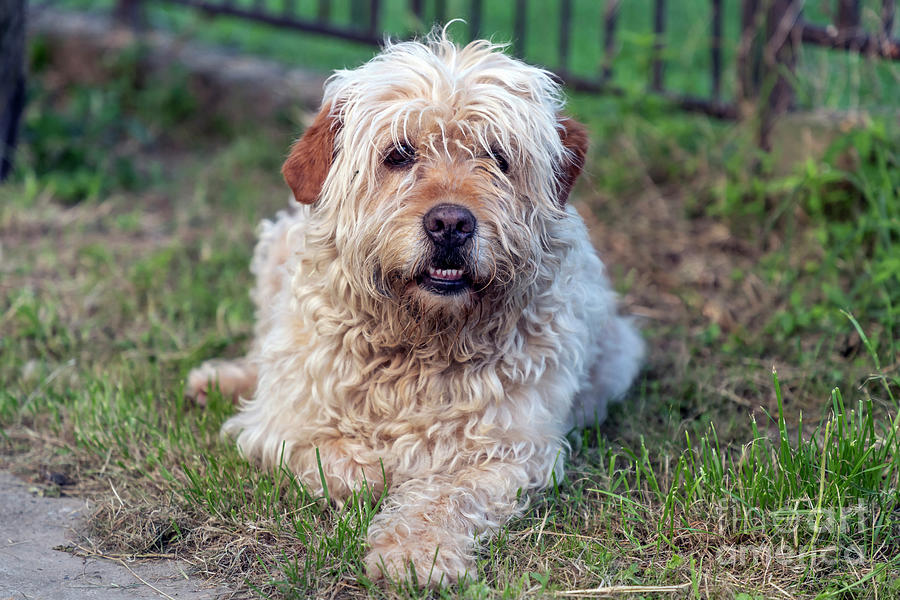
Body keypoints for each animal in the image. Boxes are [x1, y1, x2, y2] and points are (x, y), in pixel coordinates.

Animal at [186, 31, 644, 584]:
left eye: (497, 156)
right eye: (400, 154)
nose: (450, 224)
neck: (420, 342)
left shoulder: (511, 453)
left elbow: (445, 494)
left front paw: (415, 552)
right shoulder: (287, 427)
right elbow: (353, 467)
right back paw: (220, 381)